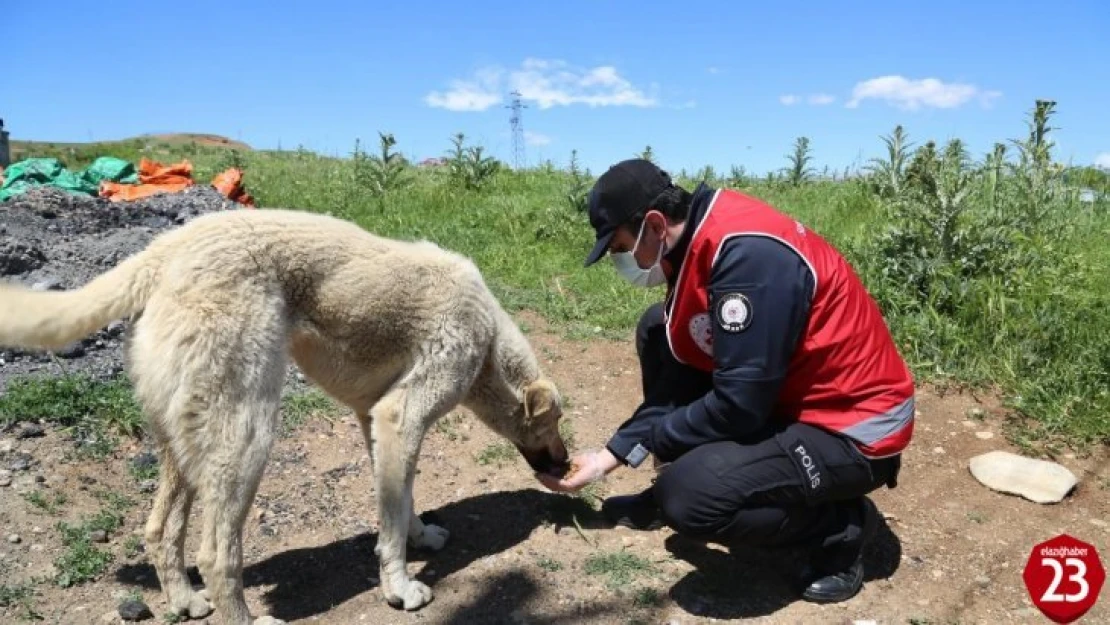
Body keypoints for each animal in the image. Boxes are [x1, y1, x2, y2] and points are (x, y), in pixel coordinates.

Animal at [0, 208, 572, 625]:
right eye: (552, 426)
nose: (567, 466)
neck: (489, 344)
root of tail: (165, 250)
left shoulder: (375, 424)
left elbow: (402, 498)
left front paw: (420, 535)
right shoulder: (400, 419)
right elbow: (390, 521)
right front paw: (399, 586)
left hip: (185, 441)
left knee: (161, 529)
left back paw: (184, 601)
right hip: (246, 435)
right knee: (215, 553)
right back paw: (243, 619)